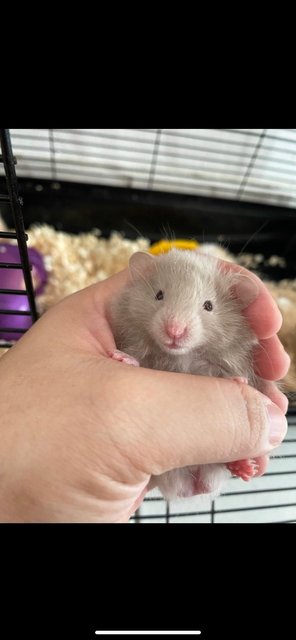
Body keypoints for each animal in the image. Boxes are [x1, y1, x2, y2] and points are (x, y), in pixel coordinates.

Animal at [110, 250, 262, 500]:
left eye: (209, 305)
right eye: (159, 295)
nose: (175, 331)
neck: (182, 356)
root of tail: (195, 484)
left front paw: (238, 380)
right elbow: (138, 359)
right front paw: (121, 357)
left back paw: (245, 468)